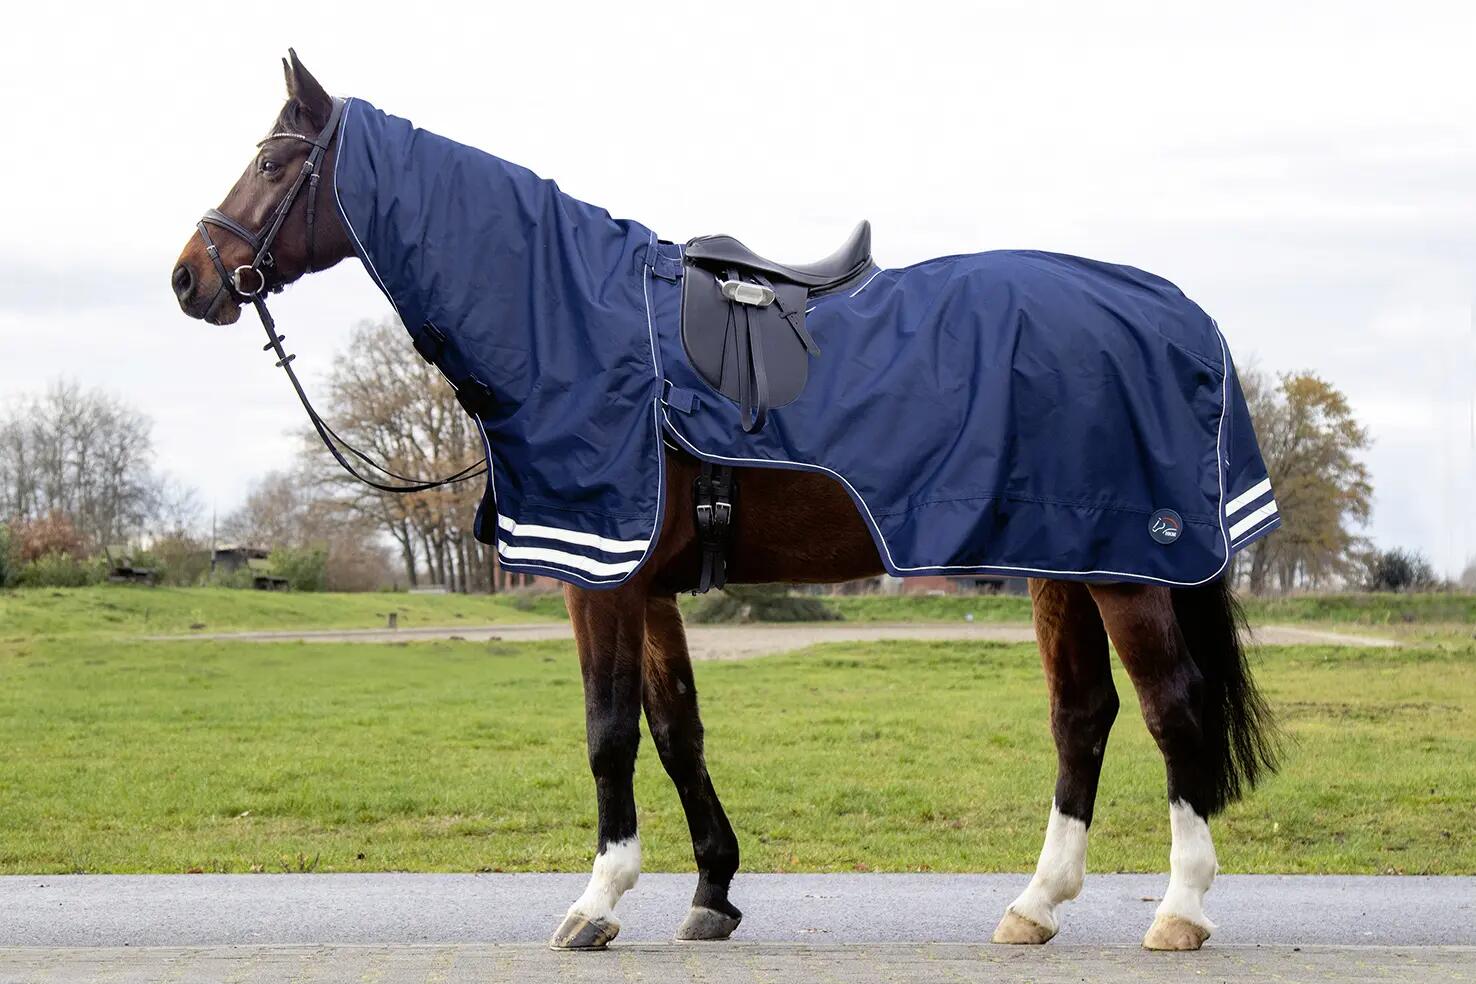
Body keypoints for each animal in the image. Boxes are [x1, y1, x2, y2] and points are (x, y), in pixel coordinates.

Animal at [171, 51, 1279, 953]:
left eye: (271, 163)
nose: (190, 278)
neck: (572, 318)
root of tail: (1178, 313)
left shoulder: (599, 578)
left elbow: (609, 730)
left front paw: (598, 901)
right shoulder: (648, 585)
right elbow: (676, 729)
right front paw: (712, 891)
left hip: (1127, 570)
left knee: (1171, 709)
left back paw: (1181, 910)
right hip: (1064, 560)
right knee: (1081, 714)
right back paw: (1036, 905)